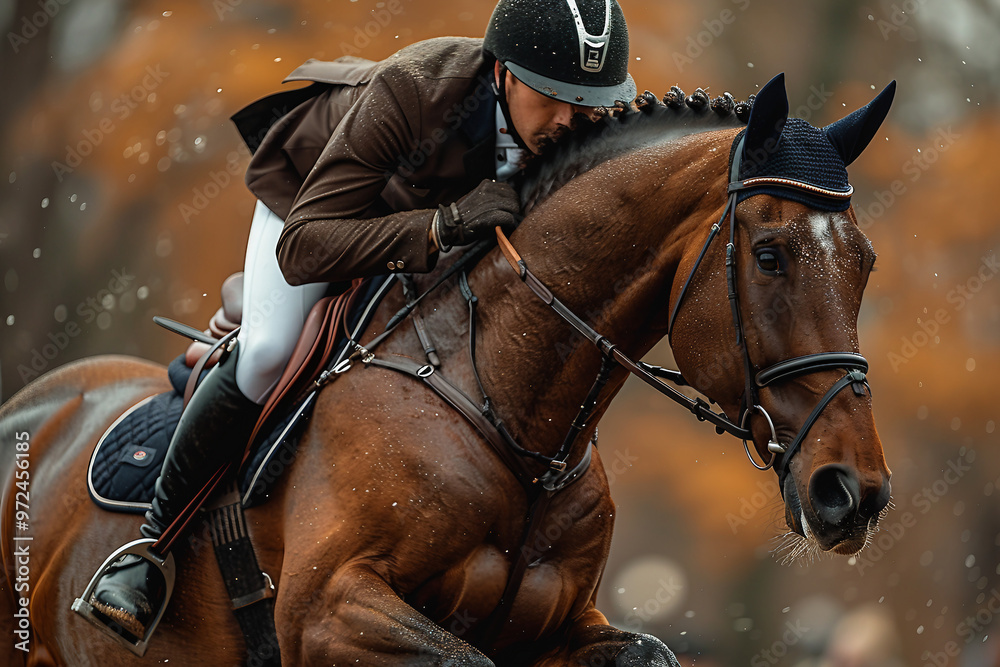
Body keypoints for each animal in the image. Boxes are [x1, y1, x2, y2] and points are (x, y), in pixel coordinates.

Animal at [0, 73, 894, 666]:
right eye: (771, 254)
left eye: (866, 265)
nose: (852, 491)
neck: (511, 410)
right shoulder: (324, 609)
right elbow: (460, 655)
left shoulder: (566, 621)